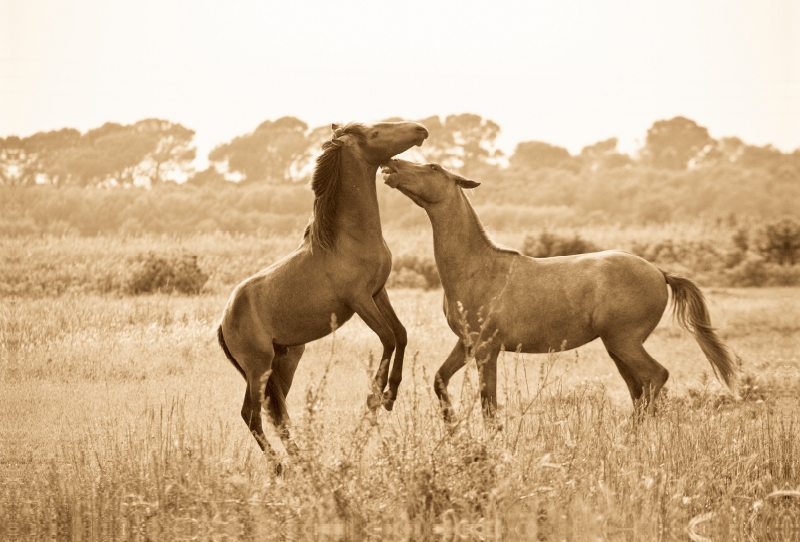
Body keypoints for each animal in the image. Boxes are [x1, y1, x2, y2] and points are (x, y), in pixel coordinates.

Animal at [219, 120, 428, 460]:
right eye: (374, 134)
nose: (420, 129)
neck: (349, 237)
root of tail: (223, 321)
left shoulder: (378, 293)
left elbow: (401, 333)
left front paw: (392, 392)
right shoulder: (359, 300)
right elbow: (387, 337)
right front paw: (376, 396)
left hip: (283, 363)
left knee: (275, 415)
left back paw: (301, 461)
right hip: (258, 367)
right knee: (251, 414)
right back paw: (281, 465)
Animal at [382, 159, 736, 422]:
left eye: (433, 167)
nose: (392, 163)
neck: (476, 268)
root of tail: (660, 273)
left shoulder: (487, 348)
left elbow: (489, 405)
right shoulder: (466, 343)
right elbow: (440, 380)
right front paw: (451, 426)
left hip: (624, 341)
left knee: (655, 377)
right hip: (618, 346)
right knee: (639, 388)